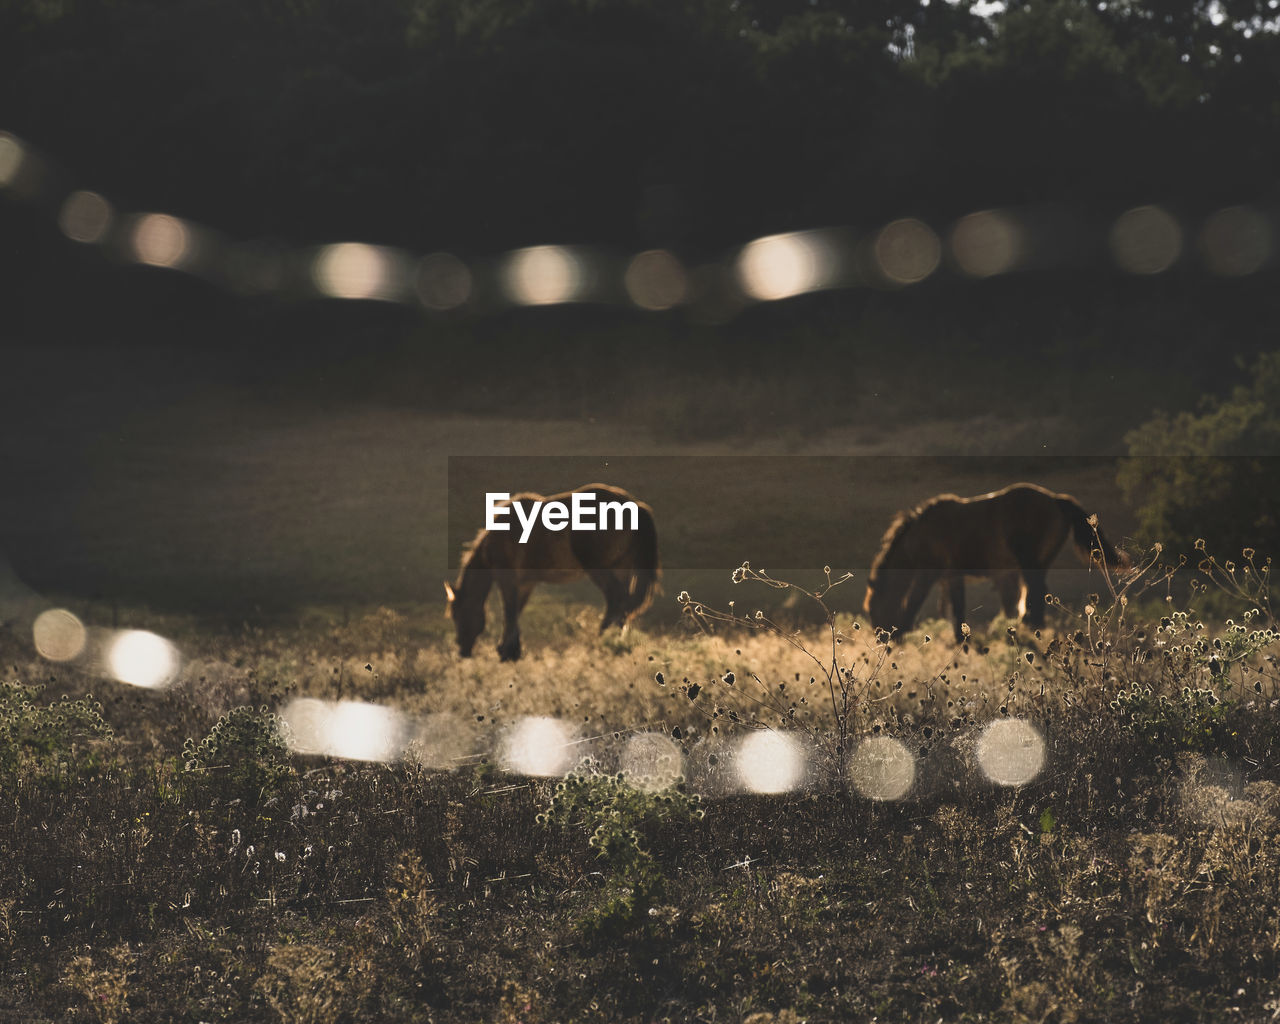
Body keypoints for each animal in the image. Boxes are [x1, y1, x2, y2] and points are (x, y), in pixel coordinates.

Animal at [445, 483, 660, 660]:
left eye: (457, 614)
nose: (462, 651)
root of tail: (636, 506)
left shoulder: (508, 580)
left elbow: (510, 612)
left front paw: (507, 652)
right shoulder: (525, 584)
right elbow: (516, 612)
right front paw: (511, 650)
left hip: (601, 571)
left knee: (617, 601)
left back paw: (602, 641)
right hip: (621, 569)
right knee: (622, 605)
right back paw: (614, 642)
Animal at [860, 481, 1131, 640]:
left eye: (873, 608)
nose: (881, 639)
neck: (920, 534)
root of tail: (1055, 499)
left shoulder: (929, 574)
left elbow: (914, 605)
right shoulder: (951, 577)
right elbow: (957, 611)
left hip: (1029, 562)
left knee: (1035, 593)